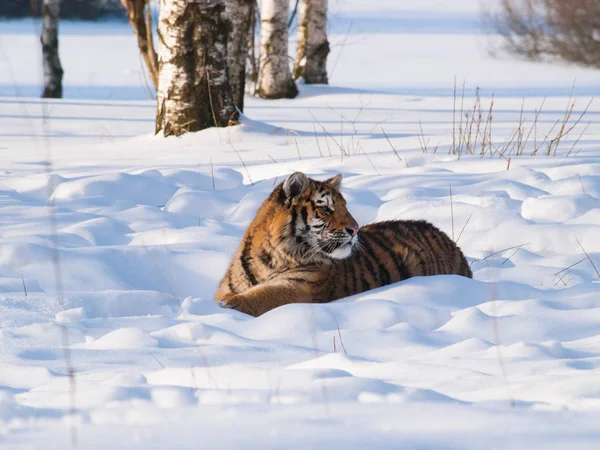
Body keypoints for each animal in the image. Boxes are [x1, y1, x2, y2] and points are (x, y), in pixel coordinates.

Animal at [216, 172, 474, 316]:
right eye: (327, 208)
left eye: (345, 206)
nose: (355, 228)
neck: (270, 258)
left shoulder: (300, 287)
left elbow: (265, 295)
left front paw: (230, 305)